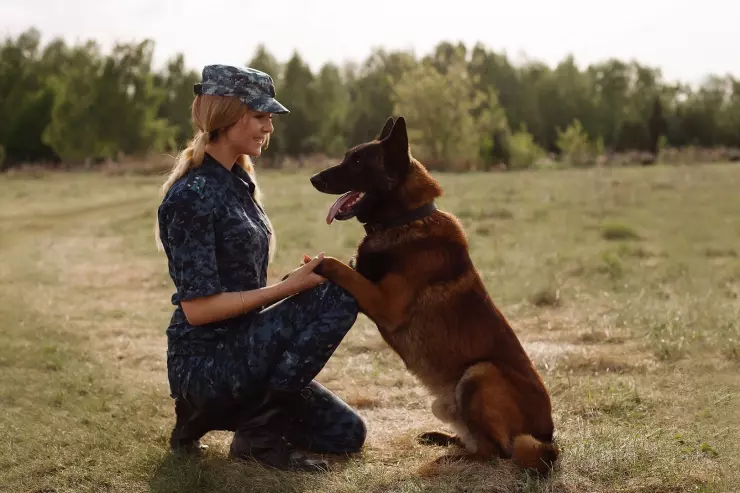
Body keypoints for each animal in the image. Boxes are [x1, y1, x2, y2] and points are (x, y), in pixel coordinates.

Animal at [310, 116, 556, 476]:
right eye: (347, 157)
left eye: (357, 162)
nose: (314, 178)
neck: (405, 219)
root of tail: (549, 438)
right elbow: (350, 266)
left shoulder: (385, 303)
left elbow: (338, 265)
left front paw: (313, 264)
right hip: (445, 403)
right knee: (479, 442)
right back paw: (444, 440)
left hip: (480, 373)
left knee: (495, 452)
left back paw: (450, 459)